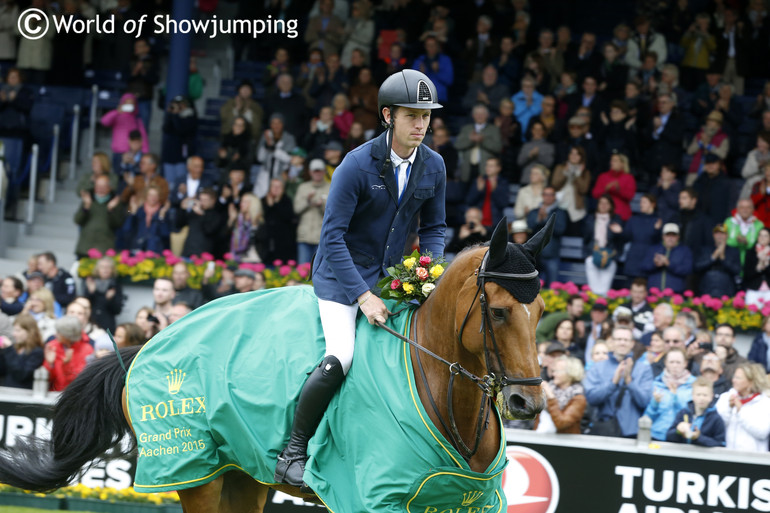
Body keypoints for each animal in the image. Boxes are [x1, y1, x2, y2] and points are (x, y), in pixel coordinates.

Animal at [0, 214, 556, 510]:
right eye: (500, 311)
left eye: (540, 312)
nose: (526, 402)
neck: (441, 391)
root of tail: (150, 345)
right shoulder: (372, 497)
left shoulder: (469, 500)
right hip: (195, 474)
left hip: (244, 477)